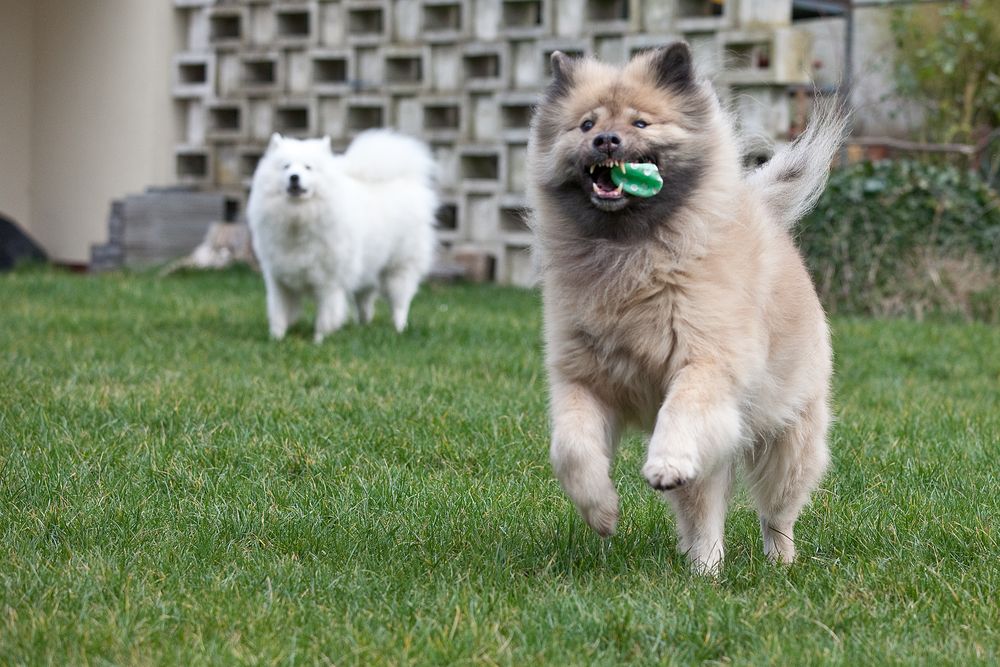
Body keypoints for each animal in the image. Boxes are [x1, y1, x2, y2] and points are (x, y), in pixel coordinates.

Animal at [246, 131, 438, 342]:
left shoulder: (329, 282)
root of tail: (405, 179)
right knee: (365, 302)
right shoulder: (279, 279)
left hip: (398, 269)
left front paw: (319, 340)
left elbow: (325, 315)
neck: (298, 219)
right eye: (286, 166)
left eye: (308, 167)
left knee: (400, 304)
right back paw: (363, 326)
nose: (294, 177)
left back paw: (399, 328)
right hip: (367, 269)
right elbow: (278, 312)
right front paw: (276, 339)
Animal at [528, 43, 848, 576]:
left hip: (788, 440)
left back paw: (777, 562)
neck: (630, 251)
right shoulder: (583, 379)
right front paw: (601, 511)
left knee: (776, 511)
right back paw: (704, 567)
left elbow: (682, 412)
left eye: (640, 123)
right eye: (586, 124)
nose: (605, 141)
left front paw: (665, 463)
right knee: (703, 516)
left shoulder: (705, 361)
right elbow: (571, 450)